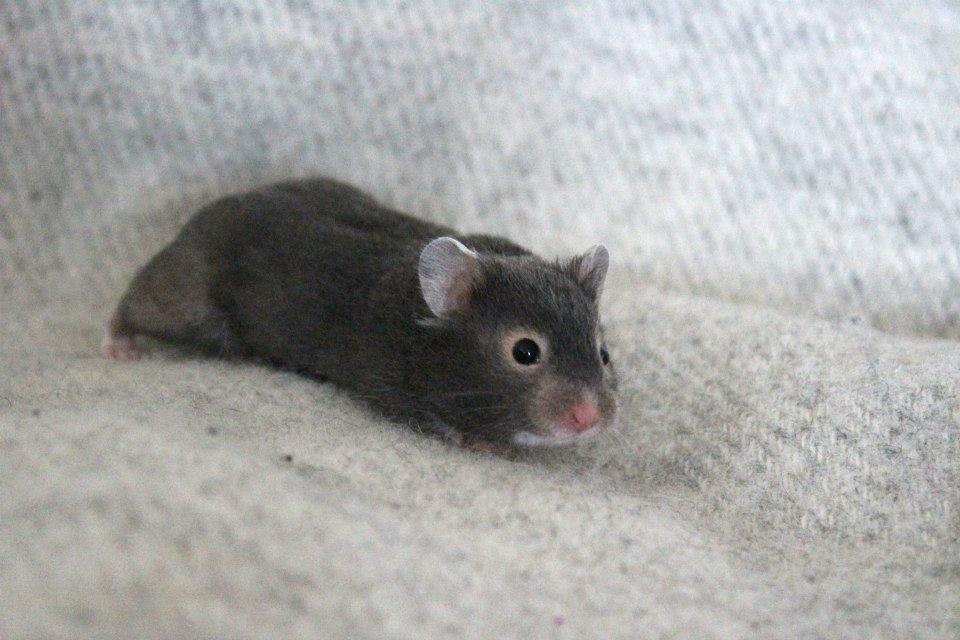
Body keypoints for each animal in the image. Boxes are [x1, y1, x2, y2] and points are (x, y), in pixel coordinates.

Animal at [103, 178, 618, 447]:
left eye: (603, 353)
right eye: (525, 352)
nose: (590, 420)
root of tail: (201, 215)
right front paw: (477, 441)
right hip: (187, 298)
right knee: (136, 302)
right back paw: (119, 347)